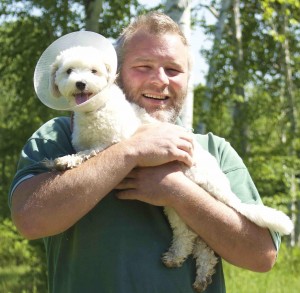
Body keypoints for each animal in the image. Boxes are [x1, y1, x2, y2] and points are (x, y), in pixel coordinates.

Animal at [44, 44, 292, 290]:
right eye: (69, 71)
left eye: (94, 71)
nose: (80, 83)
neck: (96, 110)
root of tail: (222, 186)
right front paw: (53, 160)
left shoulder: (114, 141)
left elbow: (90, 152)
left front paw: (67, 160)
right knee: (199, 242)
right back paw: (198, 273)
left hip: (182, 198)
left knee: (191, 236)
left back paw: (180, 259)